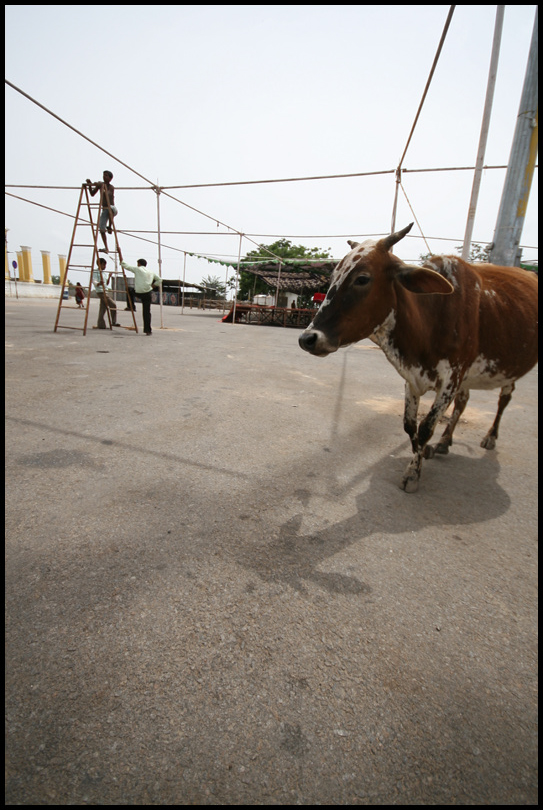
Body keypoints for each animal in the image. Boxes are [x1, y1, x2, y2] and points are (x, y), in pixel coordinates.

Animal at [300, 223, 536, 492]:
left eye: (362, 279)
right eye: (332, 279)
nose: (308, 338)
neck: (431, 318)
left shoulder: (451, 379)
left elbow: (425, 428)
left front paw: (413, 473)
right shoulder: (412, 378)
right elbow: (410, 425)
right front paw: (423, 455)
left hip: (510, 370)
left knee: (504, 399)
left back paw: (490, 437)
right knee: (463, 402)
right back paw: (445, 441)